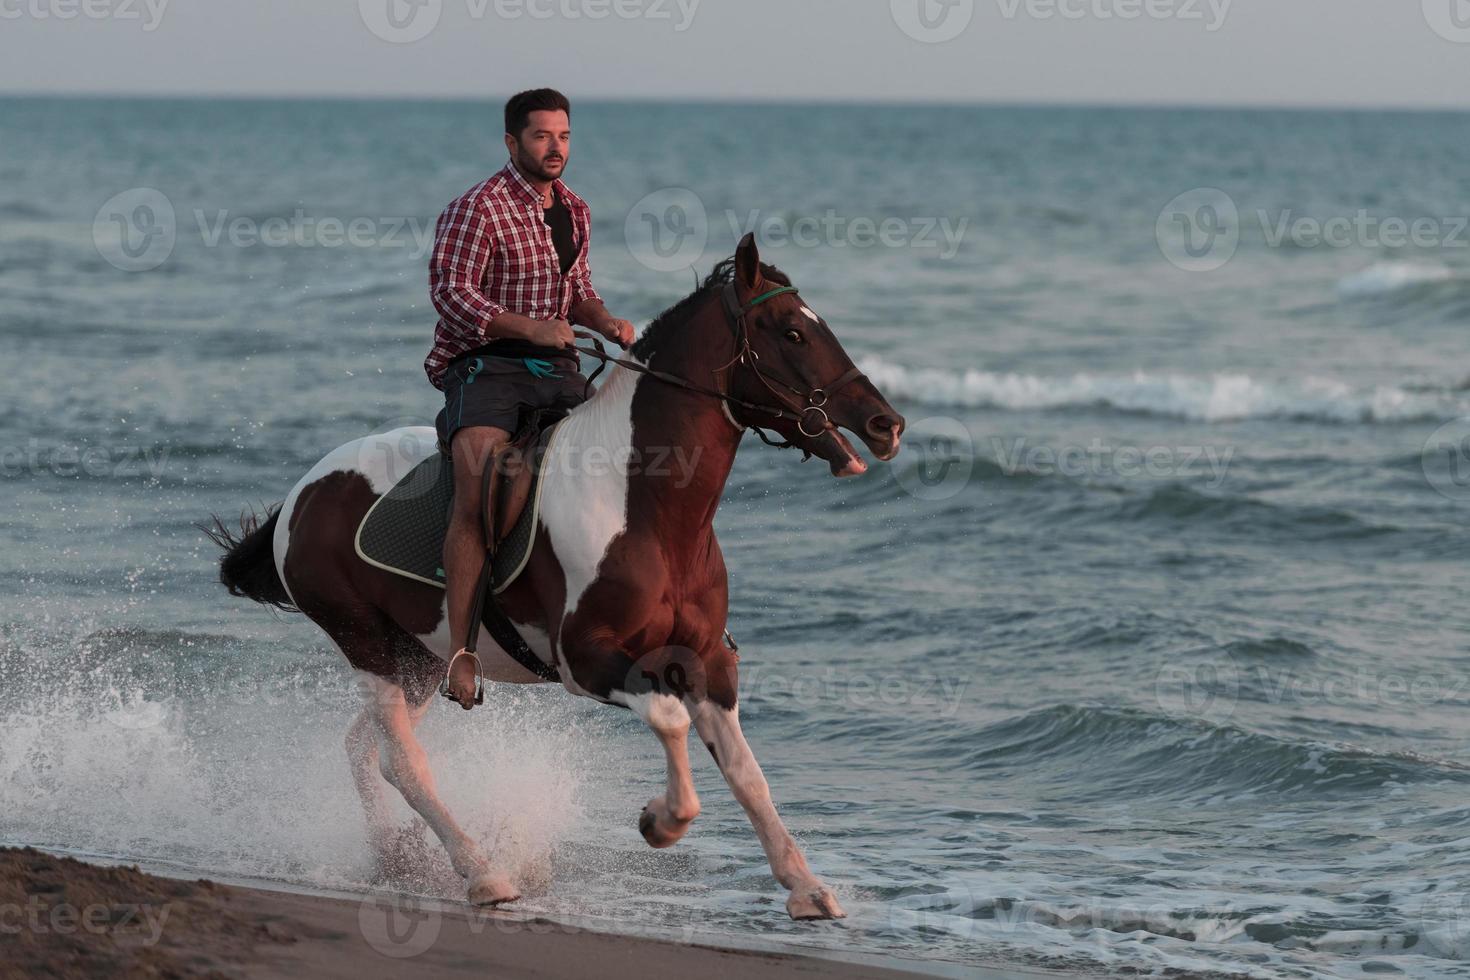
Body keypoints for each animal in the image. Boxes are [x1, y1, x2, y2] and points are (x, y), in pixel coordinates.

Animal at [205, 235, 893, 922]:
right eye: (792, 333)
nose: (886, 424)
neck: (645, 507)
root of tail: (303, 494)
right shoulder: (586, 661)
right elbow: (669, 719)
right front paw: (660, 821)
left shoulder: (705, 662)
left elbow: (748, 773)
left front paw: (806, 886)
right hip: (365, 642)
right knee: (403, 764)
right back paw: (482, 874)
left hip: (420, 659)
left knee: (364, 748)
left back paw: (395, 860)